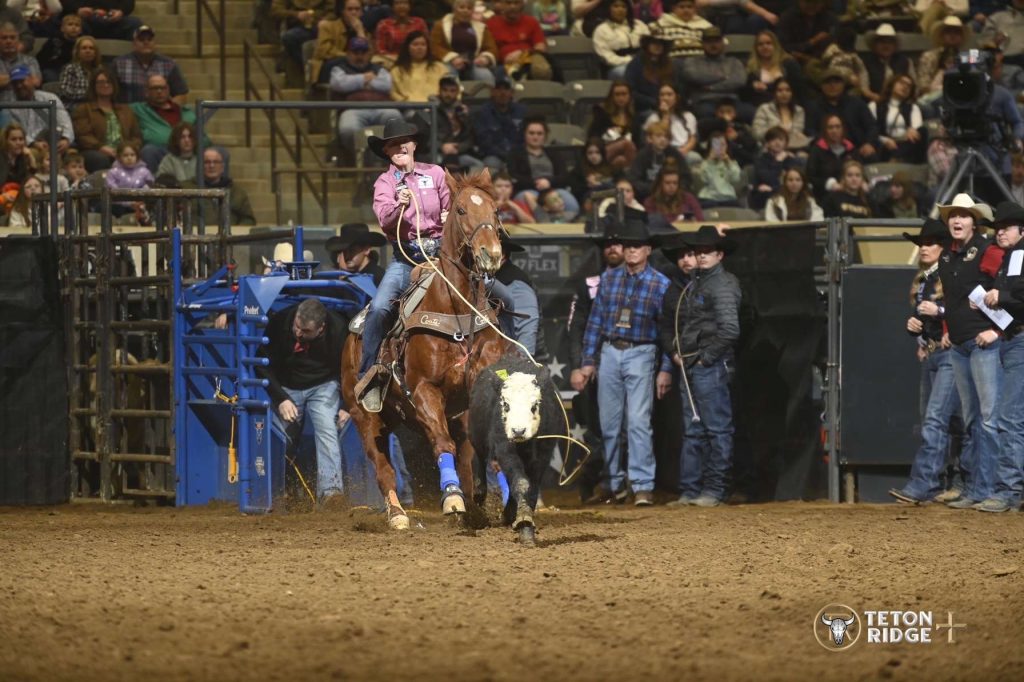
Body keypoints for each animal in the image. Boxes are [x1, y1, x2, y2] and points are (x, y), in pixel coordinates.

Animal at [468, 353, 561, 547]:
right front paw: (523, 522)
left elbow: (531, 488)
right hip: (476, 436)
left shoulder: (543, 455)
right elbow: (521, 483)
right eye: (505, 404)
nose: (518, 431)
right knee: (478, 460)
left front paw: (525, 525)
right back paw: (479, 501)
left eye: (534, 405)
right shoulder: (505, 449)